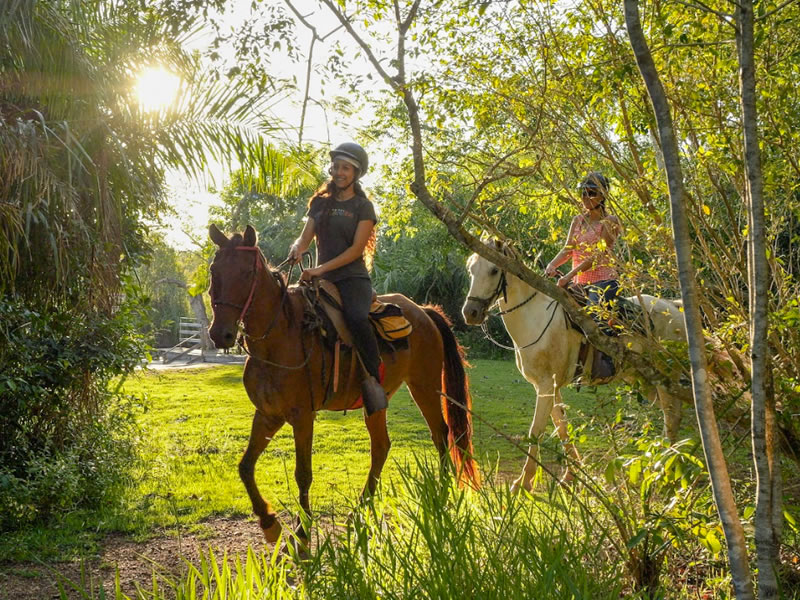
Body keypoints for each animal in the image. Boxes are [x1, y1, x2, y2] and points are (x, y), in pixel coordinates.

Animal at [208, 226, 482, 544]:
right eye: (214, 270)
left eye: (247, 272)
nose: (220, 334)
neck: (279, 337)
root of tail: (424, 312)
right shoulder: (267, 415)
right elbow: (245, 466)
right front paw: (269, 522)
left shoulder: (302, 416)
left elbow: (303, 473)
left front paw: (302, 534)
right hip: (378, 399)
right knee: (381, 446)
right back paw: (361, 509)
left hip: (424, 386)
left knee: (440, 434)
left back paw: (441, 497)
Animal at [462, 241, 688, 494]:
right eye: (471, 270)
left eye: (493, 270)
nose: (470, 313)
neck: (535, 318)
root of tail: (673, 306)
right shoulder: (548, 387)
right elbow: (562, 428)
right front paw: (572, 475)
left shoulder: (546, 386)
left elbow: (535, 431)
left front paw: (523, 482)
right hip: (645, 380)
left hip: (665, 377)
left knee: (672, 416)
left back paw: (666, 472)